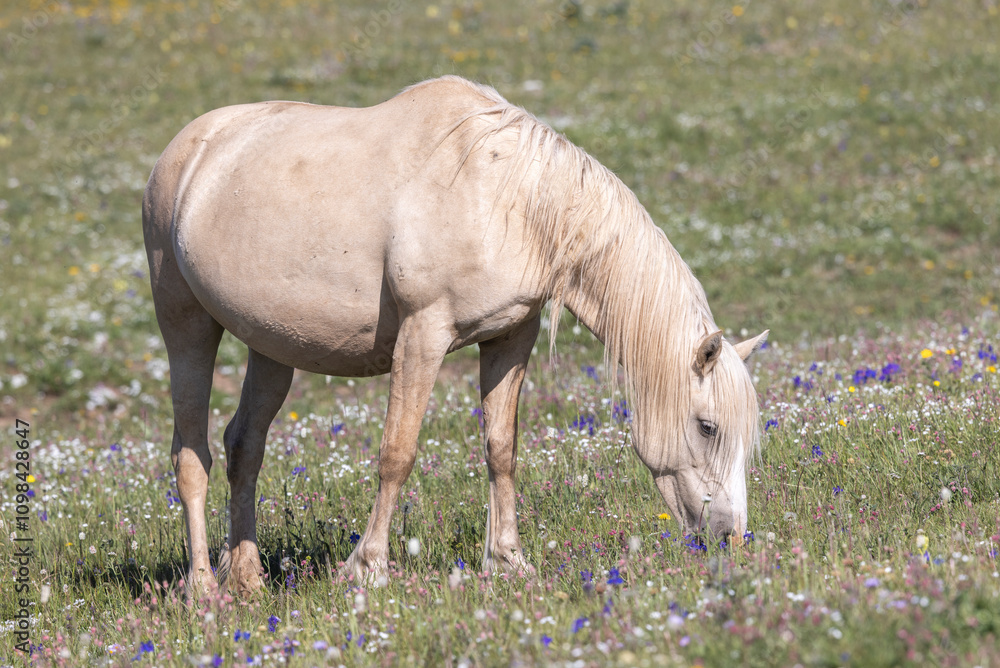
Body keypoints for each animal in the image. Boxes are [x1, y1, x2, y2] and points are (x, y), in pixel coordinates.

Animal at [142, 76, 768, 597]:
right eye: (707, 426)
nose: (731, 538)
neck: (508, 198)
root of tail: (186, 150)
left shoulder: (511, 338)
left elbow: (501, 450)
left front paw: (509, 561)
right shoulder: (423, 335)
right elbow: (397, 453)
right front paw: (368, 568)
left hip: (272, 346)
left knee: (244, 445)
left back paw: (248, 579)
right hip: (185, 326)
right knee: (191, 456)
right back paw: (204, 589)